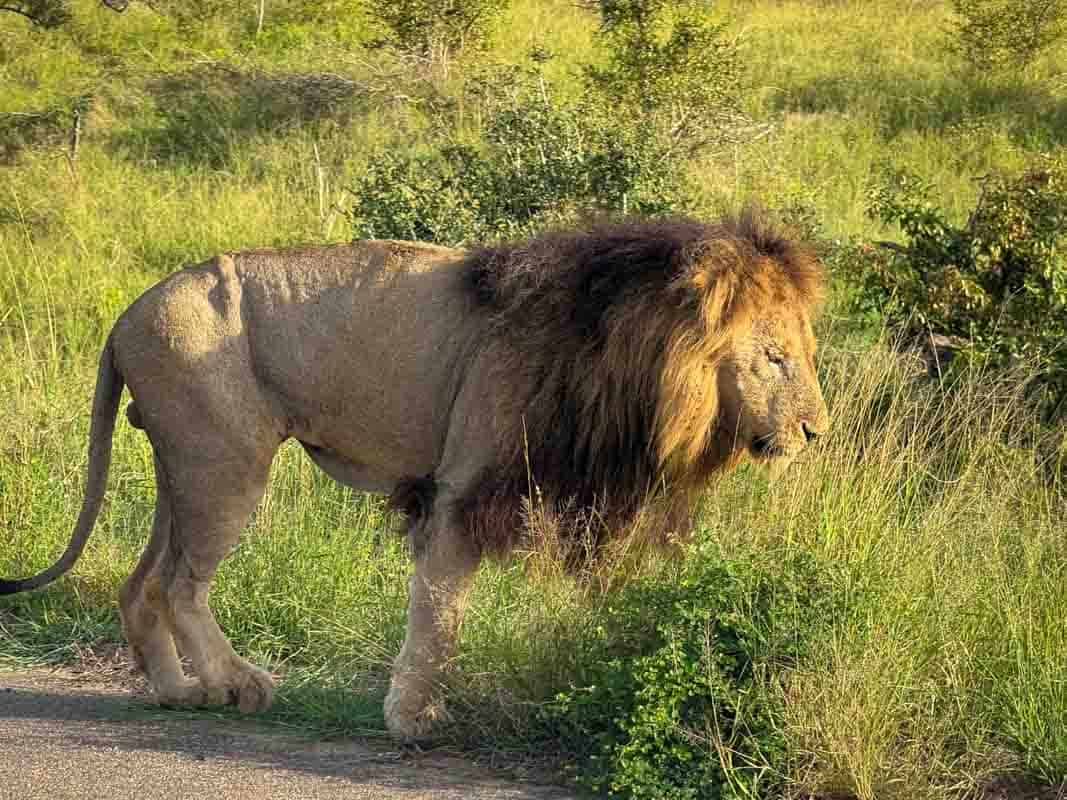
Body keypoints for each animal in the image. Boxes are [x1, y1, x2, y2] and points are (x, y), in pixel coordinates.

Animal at [0, 211, 827, 738]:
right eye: (774, 357)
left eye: (804, 354)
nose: (815, 431)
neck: (625, 364)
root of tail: (125, 315)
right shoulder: (462, 491)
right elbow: (439, 612)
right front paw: (412, 721)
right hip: (224, 461)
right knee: (180, 584)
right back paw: (240, 685)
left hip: (184, 466)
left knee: (141, 582)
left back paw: (177, 692)